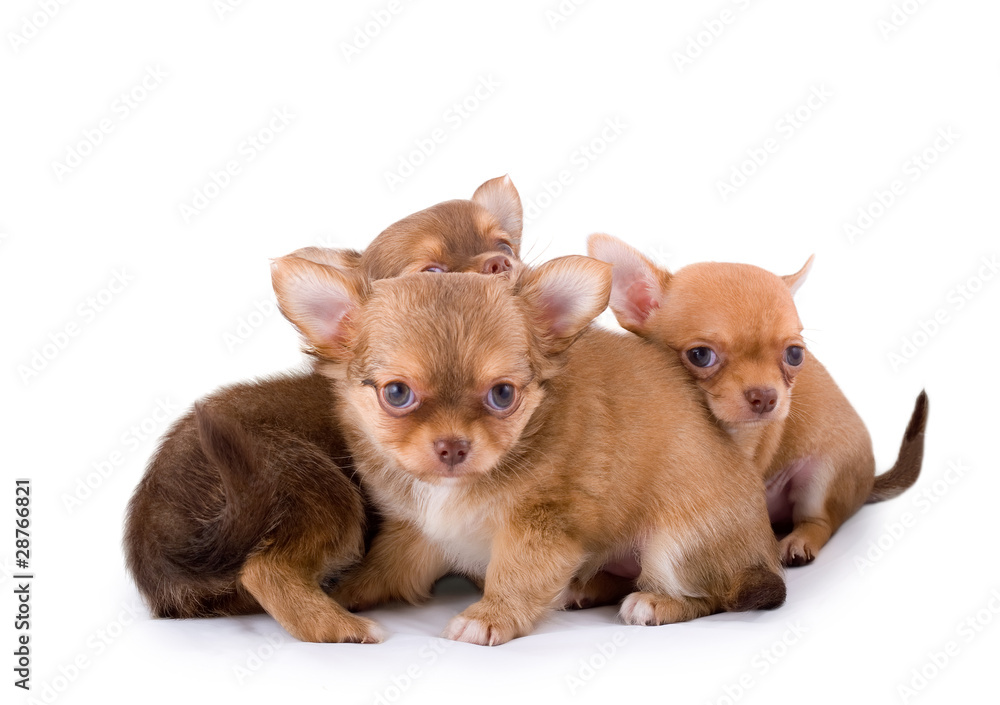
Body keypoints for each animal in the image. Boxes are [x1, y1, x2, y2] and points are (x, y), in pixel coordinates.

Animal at [123, 173, 524, 640]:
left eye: (506, 246)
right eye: (431, 274)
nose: (501, 263)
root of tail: (152, 533)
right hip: (315, 484)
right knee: (265, 569)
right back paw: (340, 625)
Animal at [270, 252, 784, 644]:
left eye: (502, 395)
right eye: (397, 394)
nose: (453, 446)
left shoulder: (541, 526)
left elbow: (515, 574)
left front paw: (489, 617)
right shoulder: (421, 532)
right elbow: (388, 567)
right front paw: (342, 594)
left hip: (678, 545)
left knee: (720, 593)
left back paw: (656, 602)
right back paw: (583, 589)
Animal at [584, 235, 928, 568]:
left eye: (794, 354)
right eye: (700, 355)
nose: (765, 397)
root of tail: (869, 481)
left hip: (822, 475)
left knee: (820, 521)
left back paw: (799, 541)